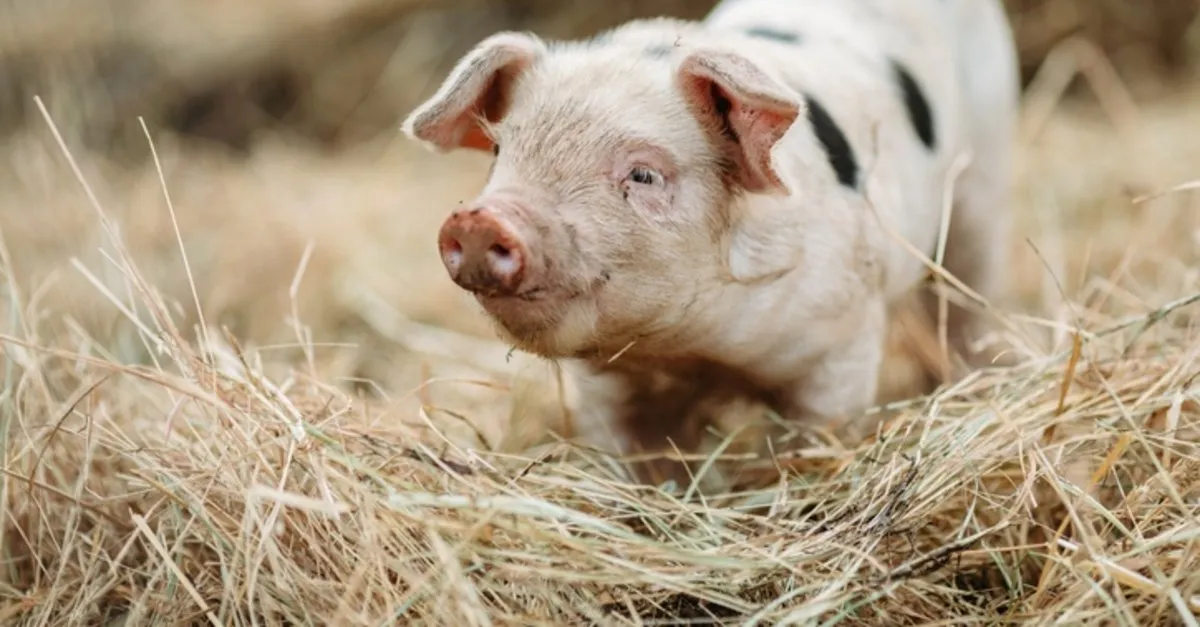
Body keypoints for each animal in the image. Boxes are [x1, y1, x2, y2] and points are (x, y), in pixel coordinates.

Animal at [403, 0, 1022, 482]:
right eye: (501, 152)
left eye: (644, 174)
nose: (480, 221)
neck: (692, 351)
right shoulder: (607, 385)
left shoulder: (841, 345)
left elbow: (815, 440)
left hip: (984, 180)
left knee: (967, 298)